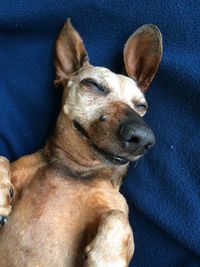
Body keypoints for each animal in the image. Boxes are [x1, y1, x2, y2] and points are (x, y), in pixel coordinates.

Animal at [0, 19, 162, 266]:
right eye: (93, 85)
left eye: (142, 106)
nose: (143, 138)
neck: (73, 171)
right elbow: (2, 158)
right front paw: (1, 195)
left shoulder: (119, 212)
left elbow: (116, 216)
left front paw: (106, 258)